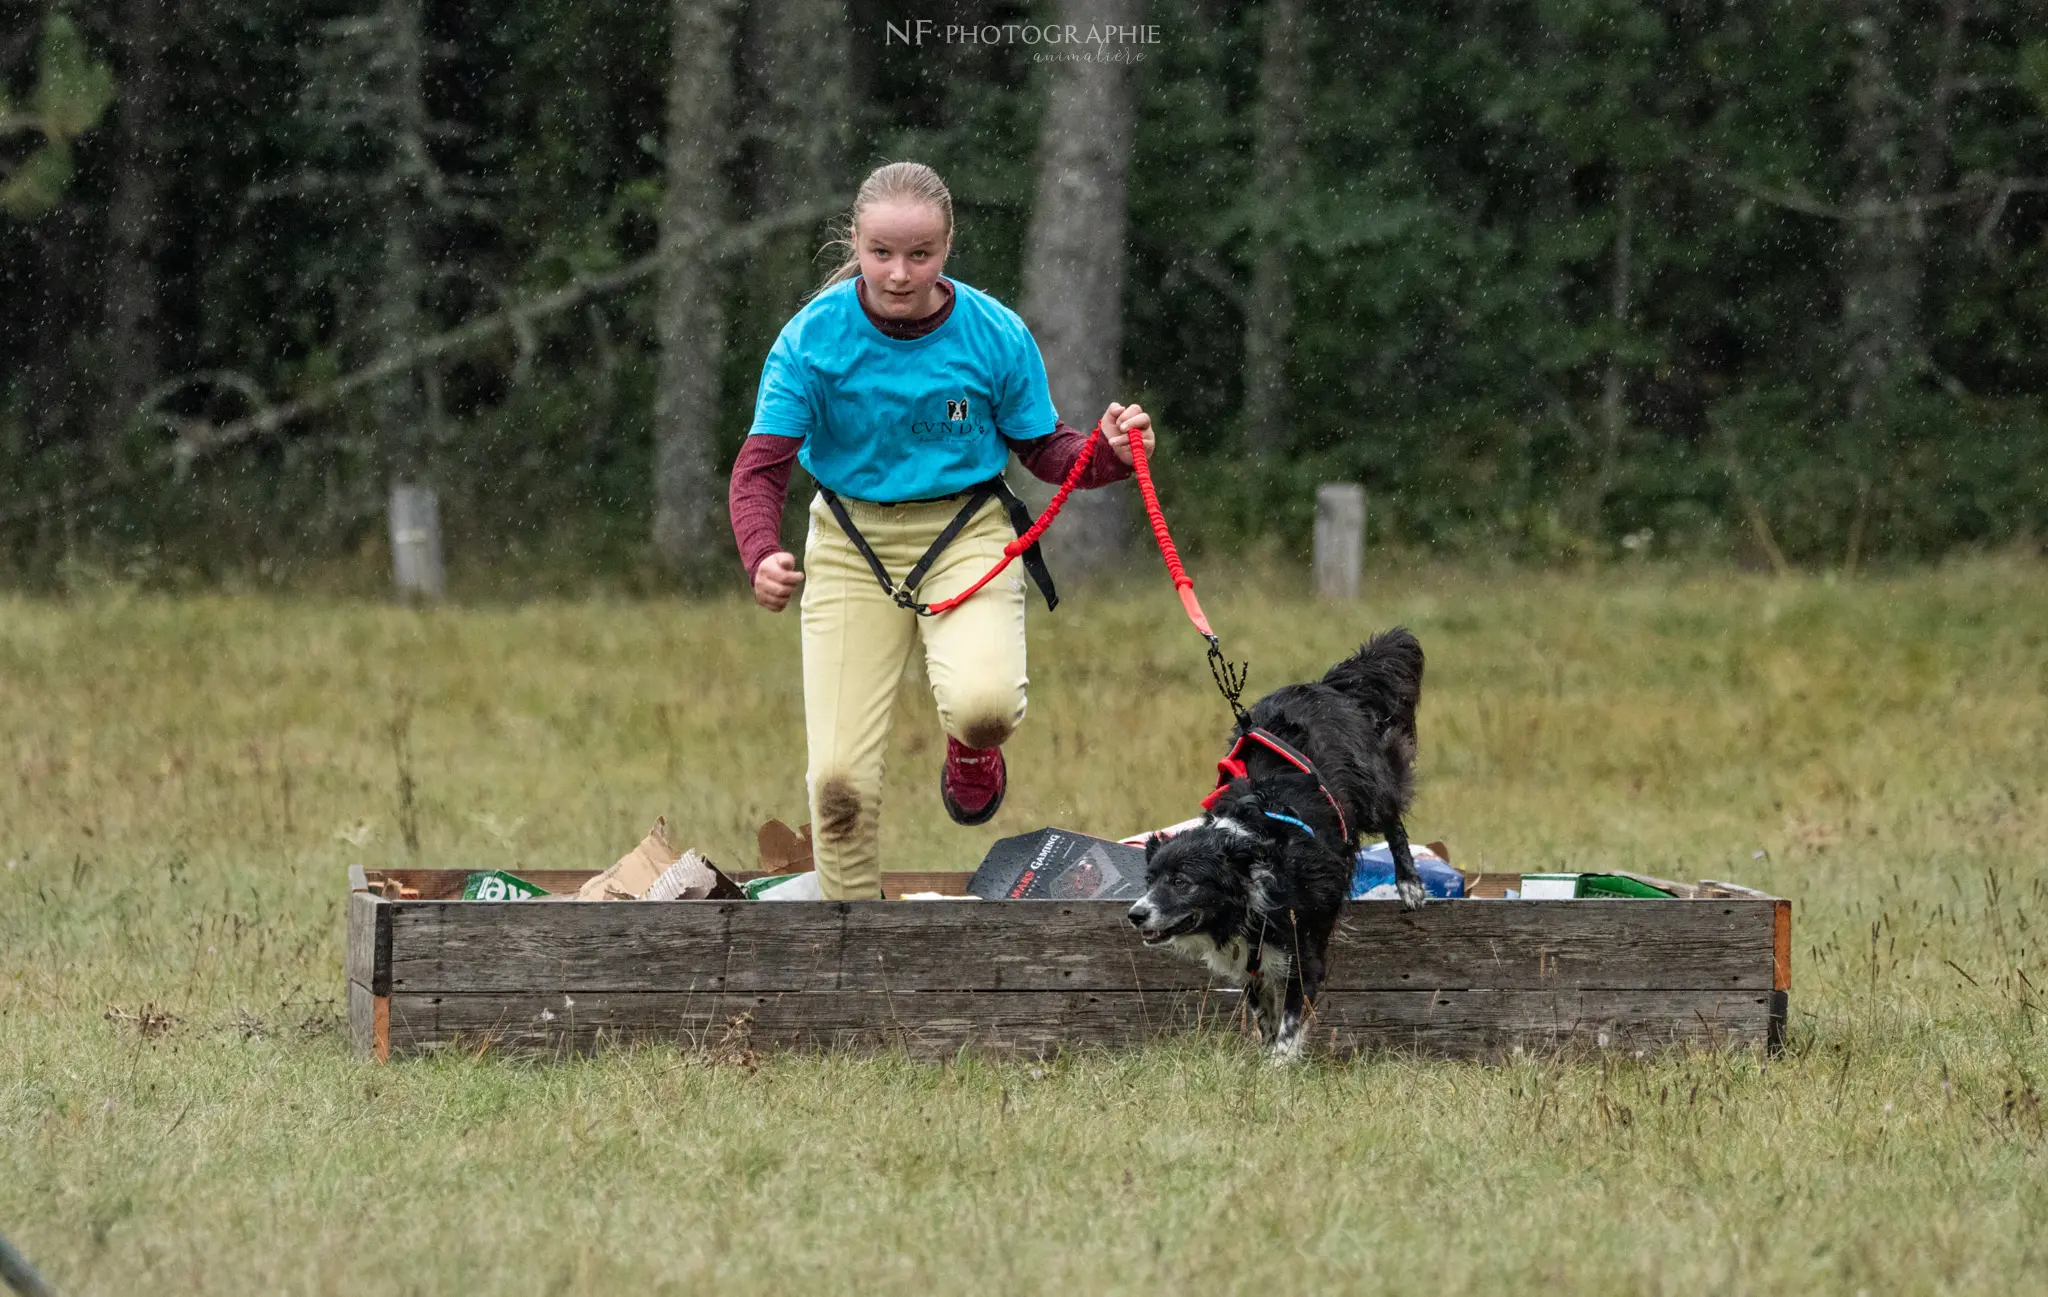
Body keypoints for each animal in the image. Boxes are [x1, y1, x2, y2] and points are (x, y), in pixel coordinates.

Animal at [1122, 626, 1425, 1065]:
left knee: (1392, 817)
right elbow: (1263, 1012)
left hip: (1369, 785)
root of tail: (1323, 686)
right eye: (1149, 880)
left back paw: (1410, 884)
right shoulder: (1253, 962)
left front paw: (1279, 1065)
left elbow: (1291, 1018)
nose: (1135, 915)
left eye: (1182, 883)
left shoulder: (1304, 950)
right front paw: (1262, 1056)